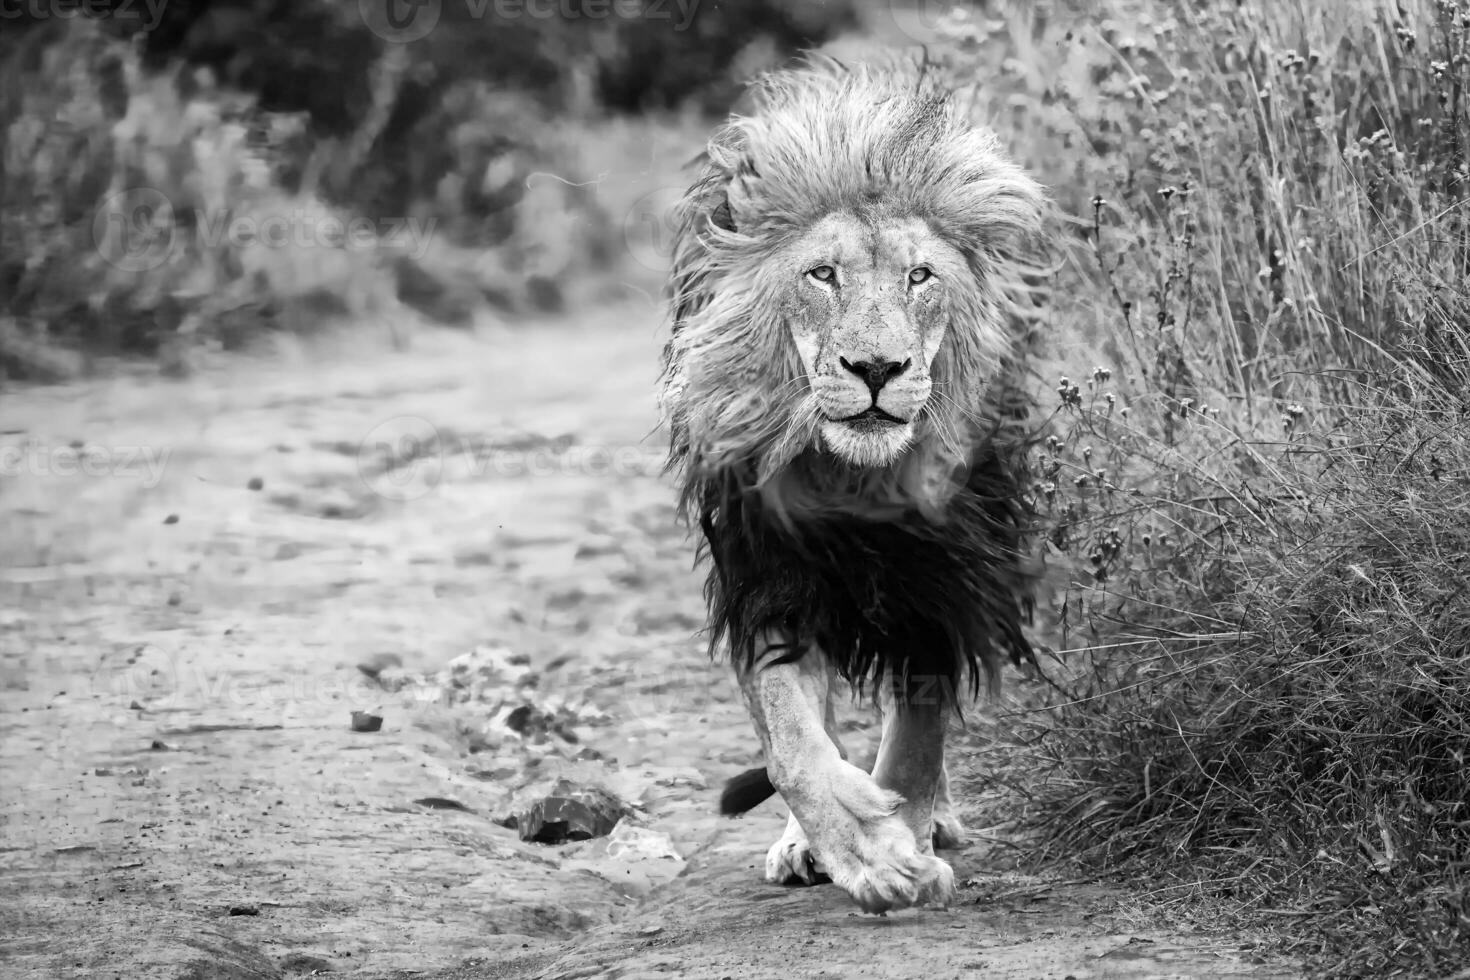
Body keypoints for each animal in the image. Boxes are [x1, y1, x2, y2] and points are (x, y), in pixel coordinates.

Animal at [655, 59, 1046, 910]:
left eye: (920, 276)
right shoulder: (769, 585)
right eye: (823, 275)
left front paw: (907, 842)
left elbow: (917, 742)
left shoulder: (941, 585)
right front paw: (868, 853)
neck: (853, 480)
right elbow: (795, 748)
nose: (876, 368)